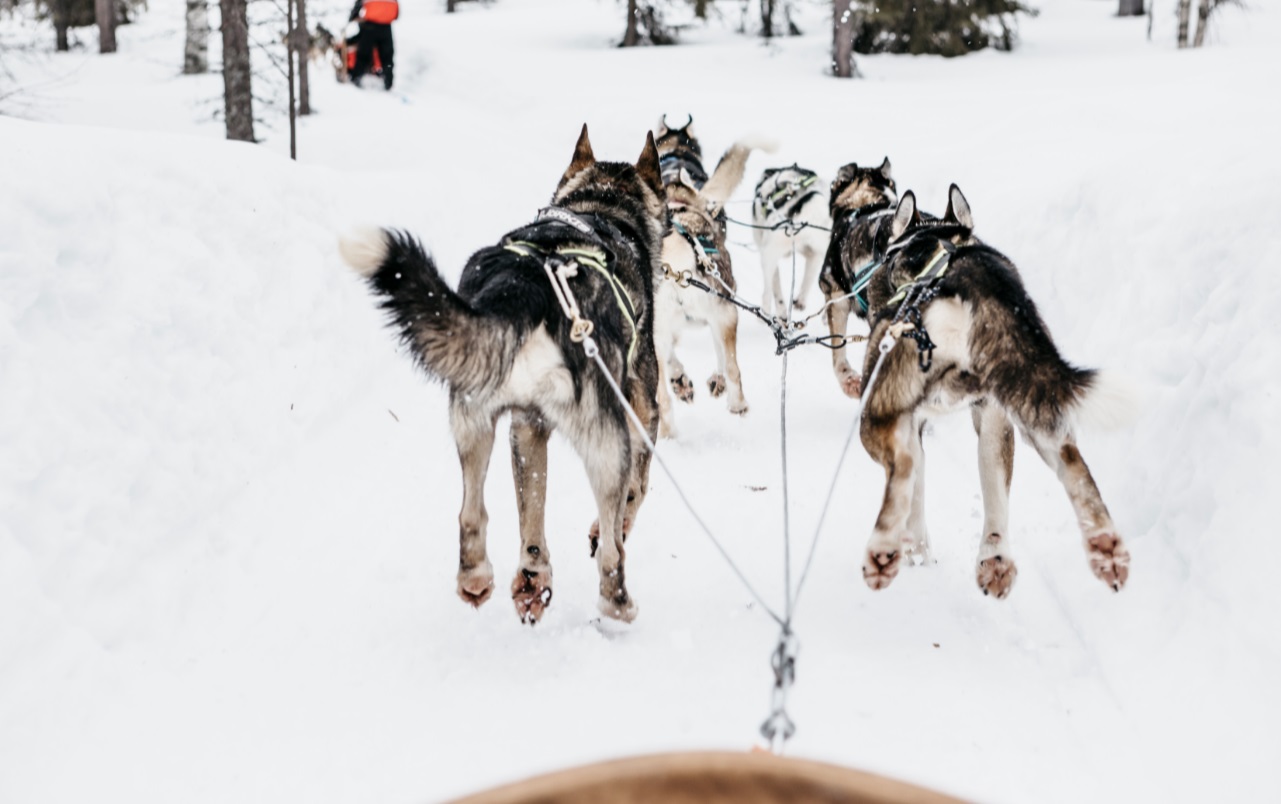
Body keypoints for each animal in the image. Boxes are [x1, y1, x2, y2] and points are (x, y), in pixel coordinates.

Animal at [340, 127, 666, 627]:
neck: (601, 205)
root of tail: (529, 283)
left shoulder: (527, 426)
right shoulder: (644, 412)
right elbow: (635, 495)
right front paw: (613, 529)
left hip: (479, 419)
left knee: (473, 515)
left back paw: (502, 579)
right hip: (607, 442)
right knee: (612, 554)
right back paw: (618, 602)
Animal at [748, 163, 835, 317]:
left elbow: (775, 287)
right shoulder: (814, 255)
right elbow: (807, 280)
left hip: (769, 255)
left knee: (767, 293)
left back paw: (766, 313)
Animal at [855, 181, 1127, 596]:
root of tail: (969, 280)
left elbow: (915, 483)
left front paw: (916, 547)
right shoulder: (988, 413)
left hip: (880, 405)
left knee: (904, 467)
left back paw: (885, 552)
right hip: (1024, 396)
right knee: (1063, 465)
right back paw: (1089, 549)